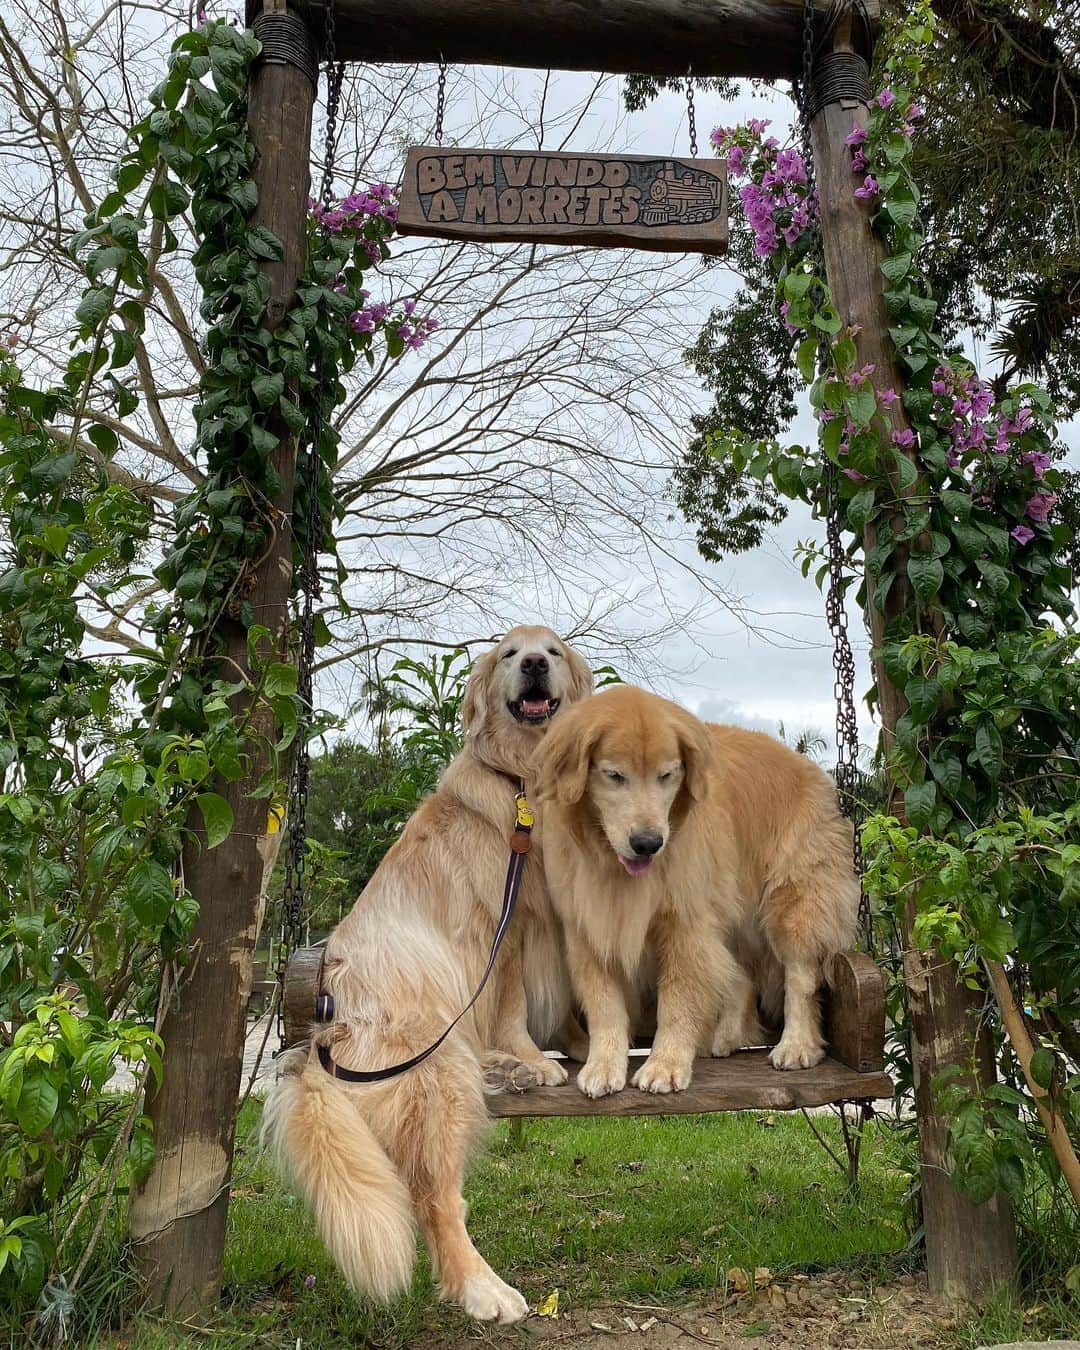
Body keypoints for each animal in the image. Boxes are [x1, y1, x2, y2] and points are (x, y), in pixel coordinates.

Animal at [260, 626, 591, 1323]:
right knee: (437, 1198)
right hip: (435, 1072)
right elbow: (515, 1004)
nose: (533, 663)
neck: (524, 776)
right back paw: (483, 1288)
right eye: (508, 654)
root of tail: (321, 1040)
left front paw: (578, 1048)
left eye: (551, 650)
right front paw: (535, 1055)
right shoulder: (510, 925)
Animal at [534, 685, 858, 1096]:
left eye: (667, 775)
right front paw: (604, 1065)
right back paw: (725, 1037)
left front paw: (666, 1064)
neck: (612, 863)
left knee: (799, 977)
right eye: (614, 775)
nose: (648, 843)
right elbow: (605, 1005)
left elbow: (677, 1002)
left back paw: (796, 1044)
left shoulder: (685, 925)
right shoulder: (589, 926)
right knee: (742, 975)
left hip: (791, 906)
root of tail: (810, 768)